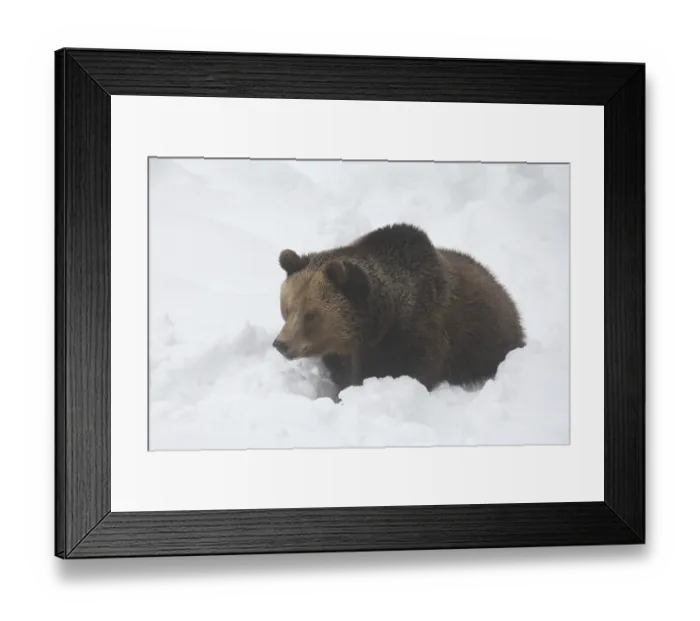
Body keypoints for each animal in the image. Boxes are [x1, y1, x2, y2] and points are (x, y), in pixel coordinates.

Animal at [273, 223, 525, 393]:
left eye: (311, 315)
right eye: (287, 308)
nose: (281, 344)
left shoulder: (415, 339)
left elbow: (410, 372)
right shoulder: (343, 355)